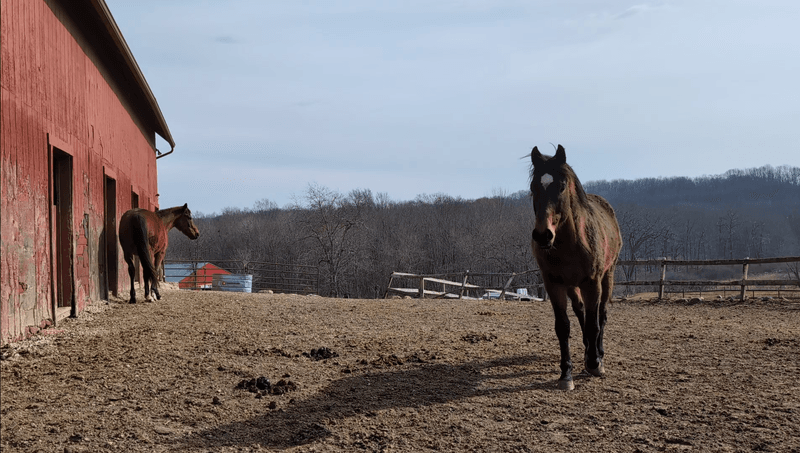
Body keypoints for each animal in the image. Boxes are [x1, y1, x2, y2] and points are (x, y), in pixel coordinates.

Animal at [529, 145, 622, 390]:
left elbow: (594, 323)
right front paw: (566, 374)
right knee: (581, 312)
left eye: (561, 186)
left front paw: (594, 364)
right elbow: (563, 327)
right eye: (533, 187)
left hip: (607, 276)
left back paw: (597, 353)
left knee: (601, 315)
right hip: (572, 285)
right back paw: (587, 347)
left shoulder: (592, 282)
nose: (543, 235)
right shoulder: (553, 284)